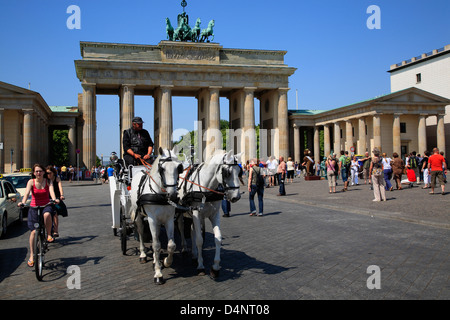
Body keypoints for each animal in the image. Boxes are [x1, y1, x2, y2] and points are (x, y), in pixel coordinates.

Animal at [128, 146, 183, 284]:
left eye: (179, 168)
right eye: (162, 169)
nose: (172, 195)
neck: (160, 195)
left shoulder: (169, 219)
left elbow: (171, 245)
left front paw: (166, 262)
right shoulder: (152, 219)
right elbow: (156, 245)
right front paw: (158, 273)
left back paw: (154, 258)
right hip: (139, 216)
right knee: (141, 232)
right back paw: (143, 254)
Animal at [178, 150, 244, 278]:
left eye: (239, 171)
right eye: (227, 172)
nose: (236, 197)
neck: (206, 189)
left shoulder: (214, 215)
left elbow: (218, 238)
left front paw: (215, 267)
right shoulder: (197, 214)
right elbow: (199, 240)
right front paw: (200, 266)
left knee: (192, 230)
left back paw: (194, 255)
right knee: (181, 228)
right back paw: (184, 249)